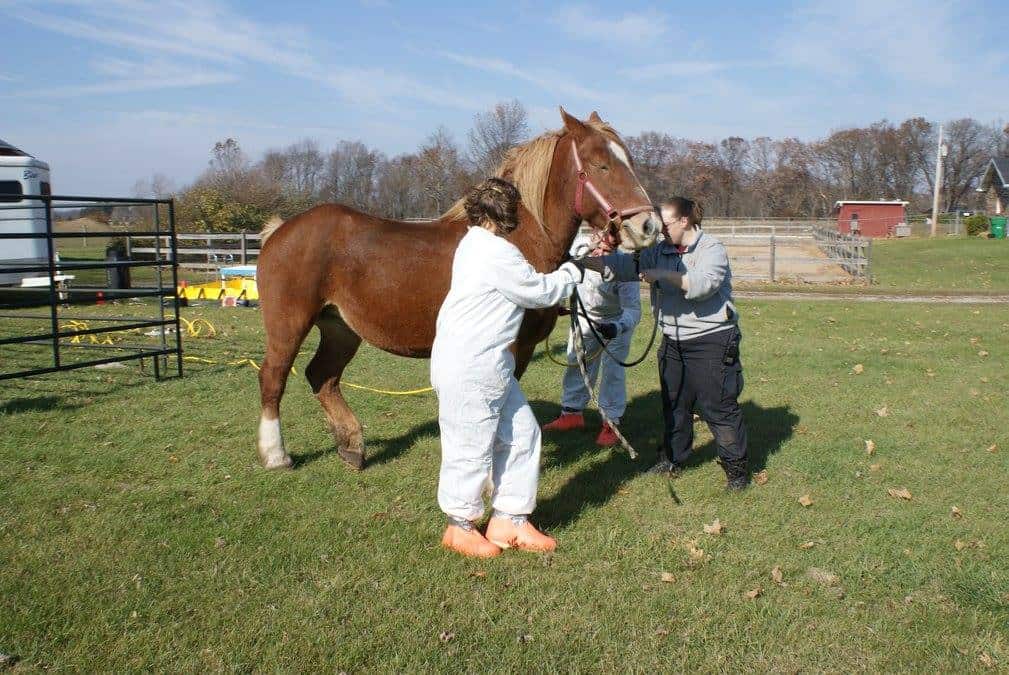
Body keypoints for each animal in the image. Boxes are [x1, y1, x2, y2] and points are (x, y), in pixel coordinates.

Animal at [256, 110, 657, 468]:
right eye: (601, 165)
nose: (648, 225)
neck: (517, 238)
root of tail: (280, 230)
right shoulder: (509, 347)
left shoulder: (522, 348)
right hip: (289, 324)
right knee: (274, 377)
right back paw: (276, 455)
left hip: (340, 328)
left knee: (322, 376)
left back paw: (352, 446)